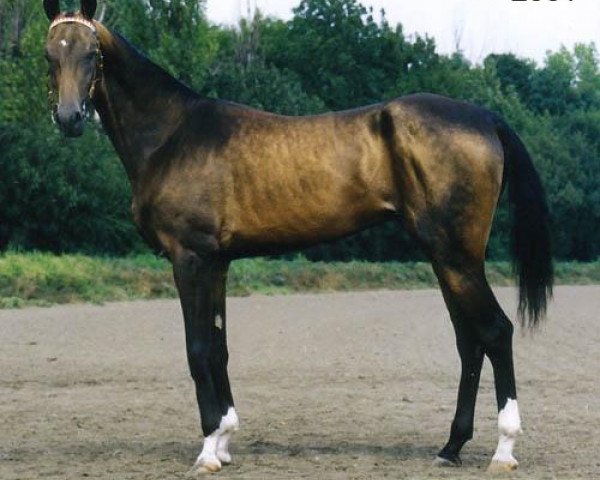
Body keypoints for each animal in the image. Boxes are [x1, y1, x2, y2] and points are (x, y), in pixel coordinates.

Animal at [42, 0, 552, 472]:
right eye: (50, 53)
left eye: (92, 53)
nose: (69, 118)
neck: (172, 135)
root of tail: (486, 118)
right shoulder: (217, 262)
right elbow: (219, 348)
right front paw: (224, 440)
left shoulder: (189, 258)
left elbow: (198, 349)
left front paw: (207, 452)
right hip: (446, 257)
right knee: (470, 342)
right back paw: (451, 447)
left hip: (455, 256)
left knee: (496, 331)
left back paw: (503, 451)